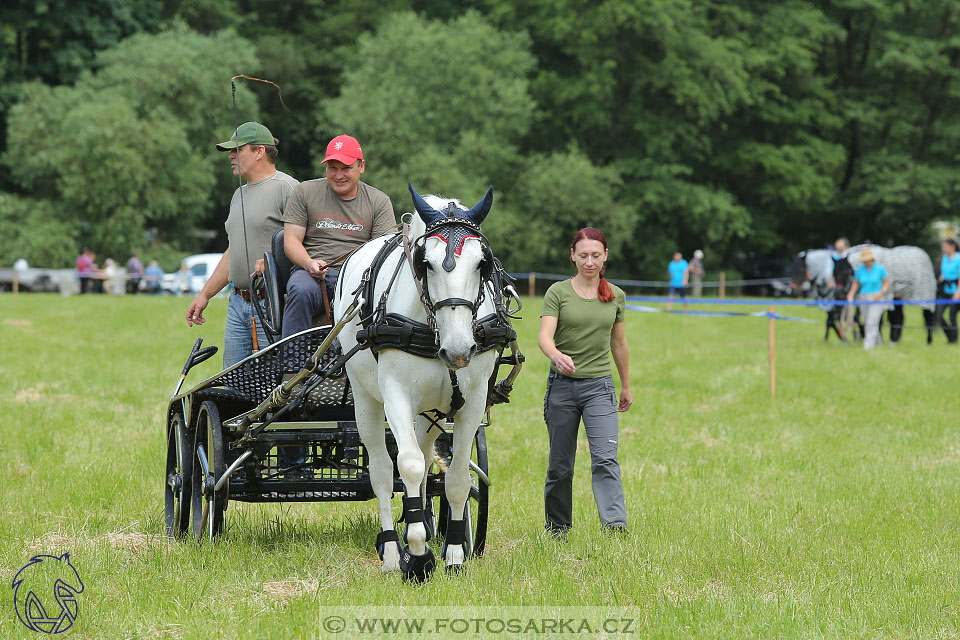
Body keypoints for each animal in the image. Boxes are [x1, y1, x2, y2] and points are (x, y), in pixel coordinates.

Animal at [334, 184, 498, 580]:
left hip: (431, 412)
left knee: (426, 461)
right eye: (427, 263)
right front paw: (419, 555)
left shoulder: (472, 401)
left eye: (482, 263)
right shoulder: (396, 395)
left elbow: (456, 478)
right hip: (366, 400)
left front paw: (453, 553)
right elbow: (405, 465)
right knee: (382, 469)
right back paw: (394, 551)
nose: (459, 349)